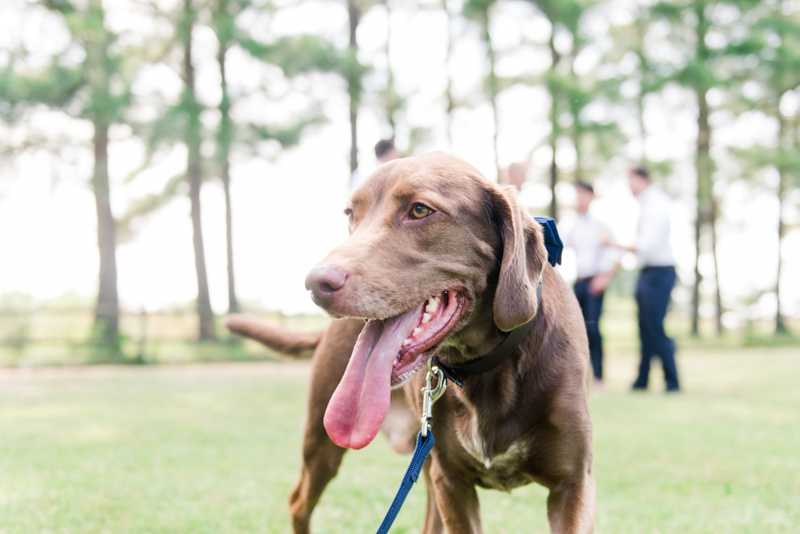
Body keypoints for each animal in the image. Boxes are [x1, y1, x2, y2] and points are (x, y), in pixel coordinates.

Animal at [225, 153, 592, 532]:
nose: (315, 283)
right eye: (351, 215)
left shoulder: (572, 484)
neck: (489, 367)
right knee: (299, 501)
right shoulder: (453, 483)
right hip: (325, 435)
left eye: (419, 210)